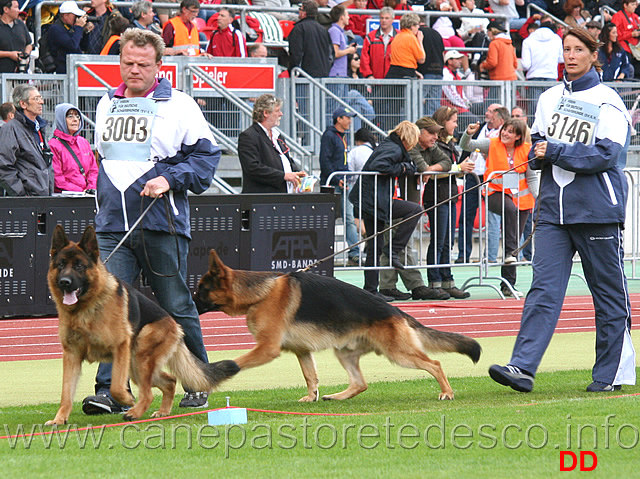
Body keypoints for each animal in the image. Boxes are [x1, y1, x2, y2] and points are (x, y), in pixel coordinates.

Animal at [45, 227, 240, 426]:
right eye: (60, 264)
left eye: (79, 266)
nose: (65, 282)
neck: (85, 309)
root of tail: (176, 326)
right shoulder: (71, 356)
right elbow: (66, 393)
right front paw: (59, 419)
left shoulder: (120, 346)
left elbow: (116, 386)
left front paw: (126, 399)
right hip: (136, 365)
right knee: (170, 381)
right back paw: (162, 411)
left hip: (139, 357)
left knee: (148, 393)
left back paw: (135, 412)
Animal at [195, 249, 480, 404]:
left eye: (200, 290)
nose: (188, 303)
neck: (259, 294)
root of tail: (396, 310)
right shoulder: (301, 351)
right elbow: (310, 376)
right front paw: (312, 397)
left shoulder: (267, 348)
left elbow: (236, 361)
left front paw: (214, 373)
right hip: (345, 353)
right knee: (360, 383)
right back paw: (336, 397)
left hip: (399, 353)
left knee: (435, 364)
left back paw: (447, 392)